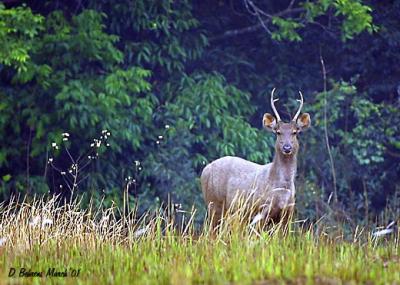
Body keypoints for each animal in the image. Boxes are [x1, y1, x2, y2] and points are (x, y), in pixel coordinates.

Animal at [202, 89, 310, 229]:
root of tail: (205, 169)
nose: (287, 147)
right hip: (214, 203)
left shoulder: (288, 214)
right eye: (278, 132)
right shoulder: (261, 210)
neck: (282, 190)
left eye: (295, 132)